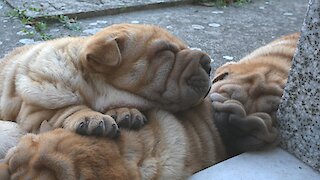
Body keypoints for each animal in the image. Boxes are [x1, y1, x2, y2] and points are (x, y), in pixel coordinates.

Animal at [0, 23, 212, 137]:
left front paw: (125, 111)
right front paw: (91, 117)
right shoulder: (32, 113)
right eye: (166, 51)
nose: (208, 63)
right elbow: (64, 109)